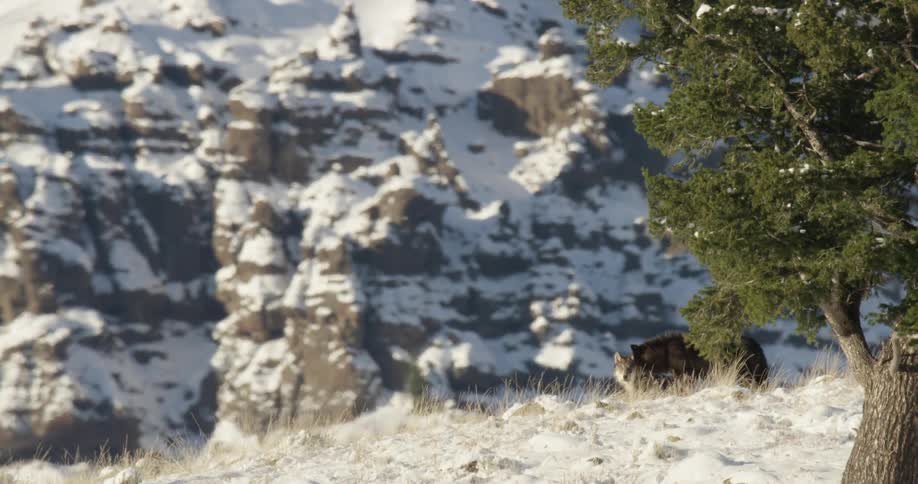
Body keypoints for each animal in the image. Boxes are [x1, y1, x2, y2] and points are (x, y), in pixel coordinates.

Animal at [613, 332, 768, 392]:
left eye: (632, 366)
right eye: (622, 368)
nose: (625, 377)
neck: (666, 351)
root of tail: (756, 344)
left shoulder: (685, 375)